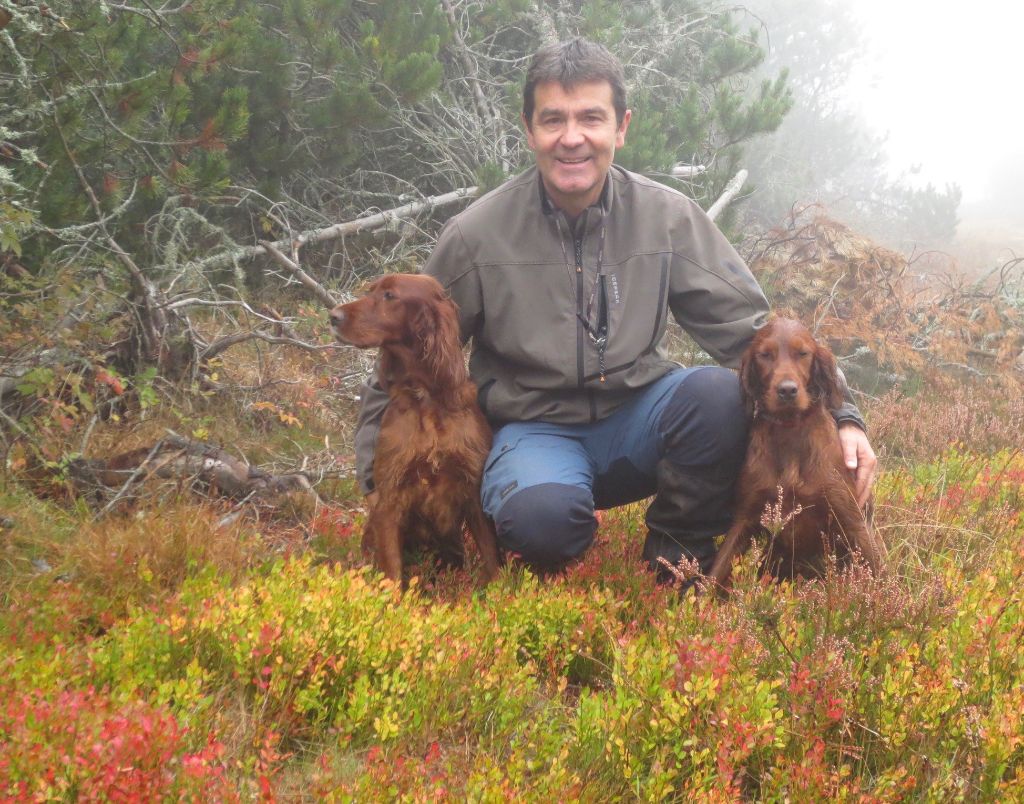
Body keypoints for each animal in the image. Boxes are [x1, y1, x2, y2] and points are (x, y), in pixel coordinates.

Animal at [329, 274, 501, 581]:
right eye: (370, 290)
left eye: (389, 295)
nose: (333, 316)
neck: (425, 398)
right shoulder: (389, 498)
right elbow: (393, 573)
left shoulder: (474, 486)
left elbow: (491, 556)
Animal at [708, 317, 884, 585]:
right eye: (765, 355)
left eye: (802, 353)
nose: (787, 390)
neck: (790, 431)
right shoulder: (745, 517)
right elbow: (713, 574)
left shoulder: (852, 521)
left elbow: (880, 579)